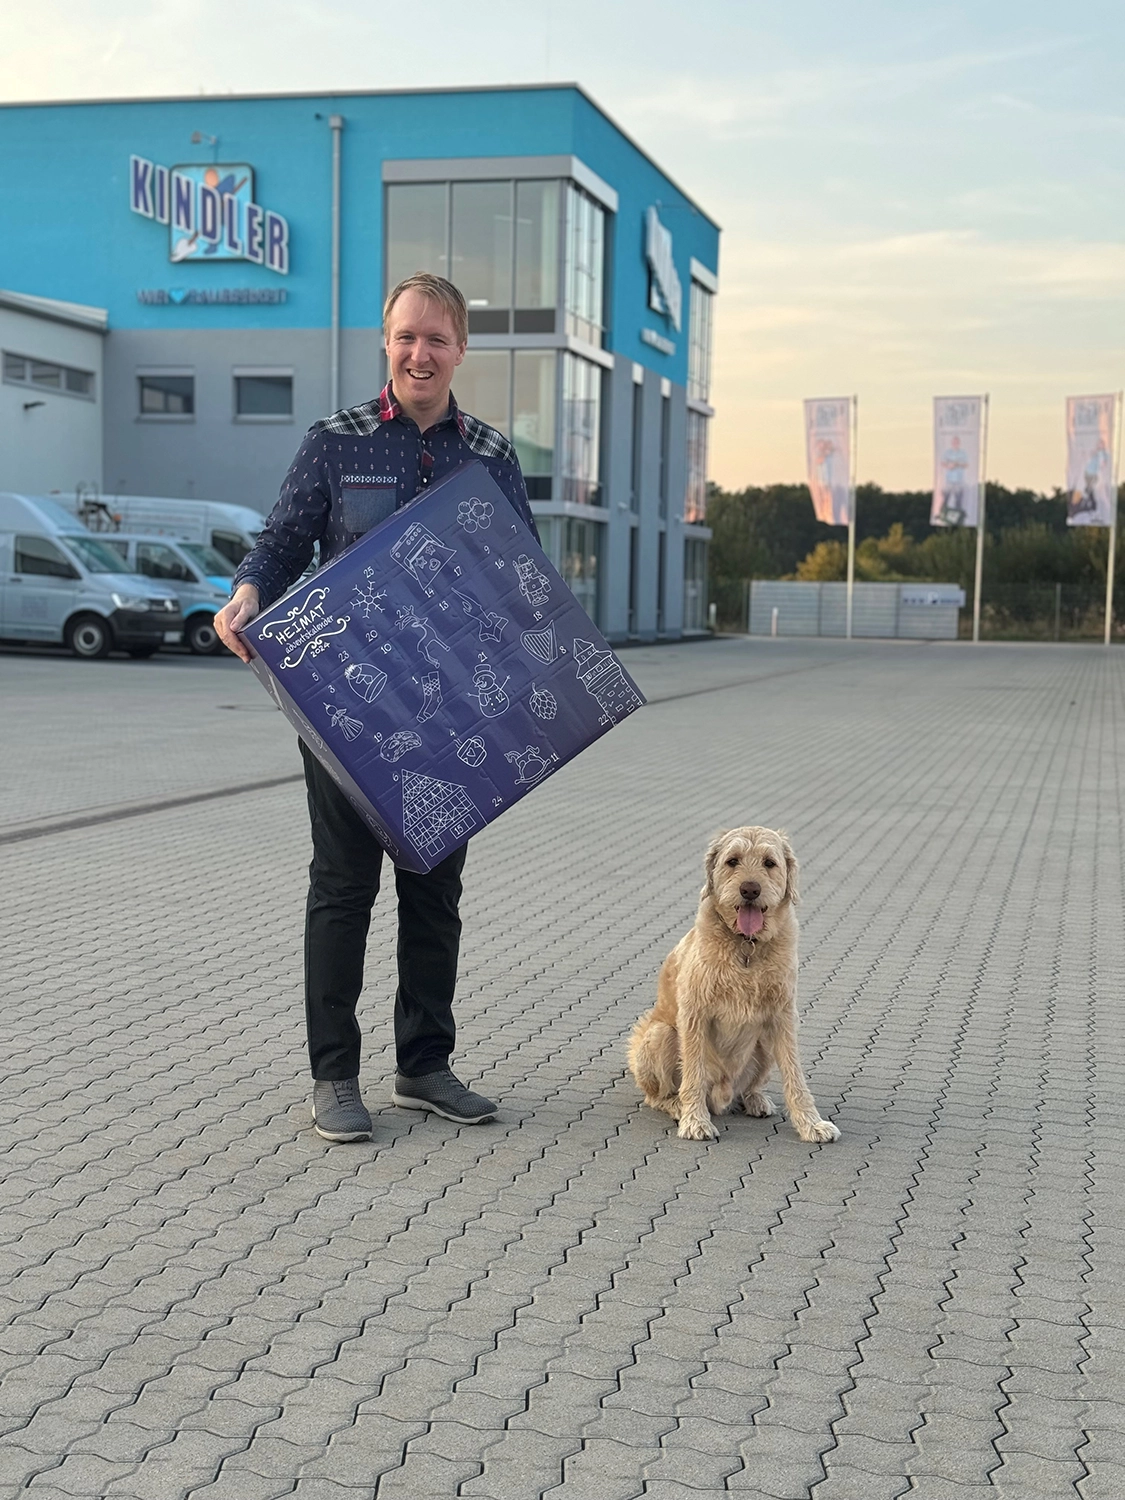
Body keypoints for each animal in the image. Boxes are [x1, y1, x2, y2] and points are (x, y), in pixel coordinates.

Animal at [630, 828, 840, 1140]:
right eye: (732, 861)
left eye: (769, 863)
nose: (750, 889)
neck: (746, 945)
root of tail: (723, 1095)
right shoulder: (695, 1014)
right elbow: (693, 1072)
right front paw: (695, 1121)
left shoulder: (784, 1016)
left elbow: (795, 1077)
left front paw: (811, 1124)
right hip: (660, 1034)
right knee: (656, 1095)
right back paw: (677, 1105)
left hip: (764, 1043)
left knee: (748, 1088)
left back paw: (755, 1099)